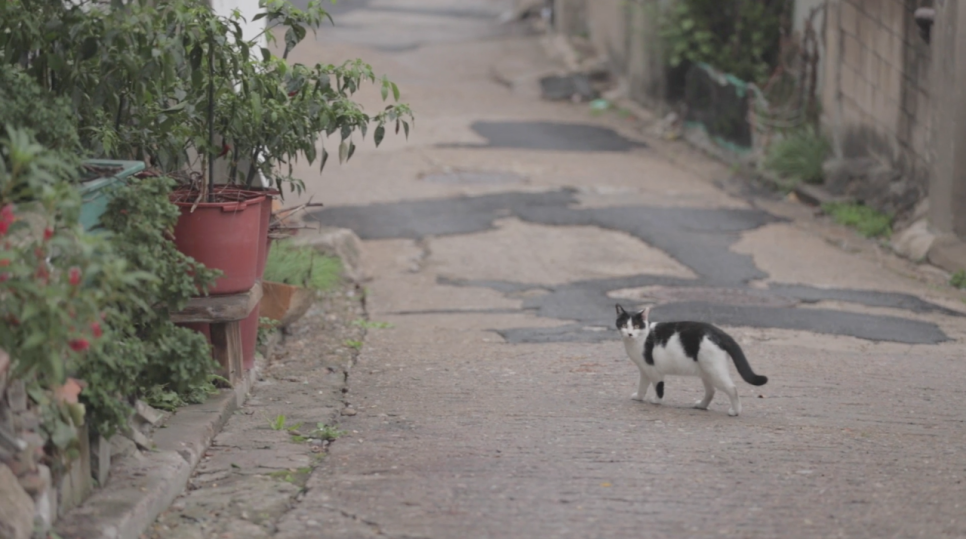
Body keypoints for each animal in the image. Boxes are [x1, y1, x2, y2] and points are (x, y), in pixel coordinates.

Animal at [620, 304, 772, 418]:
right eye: (624, 325)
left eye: (636, 326)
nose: (629, 334)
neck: (642, 337)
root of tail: (719, 332)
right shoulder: (644, 370)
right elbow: (642, 385)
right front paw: (639, 397)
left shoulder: (654, 370)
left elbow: (659, 387)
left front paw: (657, 401)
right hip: (707, 372)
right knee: (711, 391)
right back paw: (701, 405)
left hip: (714, 372)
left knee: (732, 388)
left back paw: (735, 411)